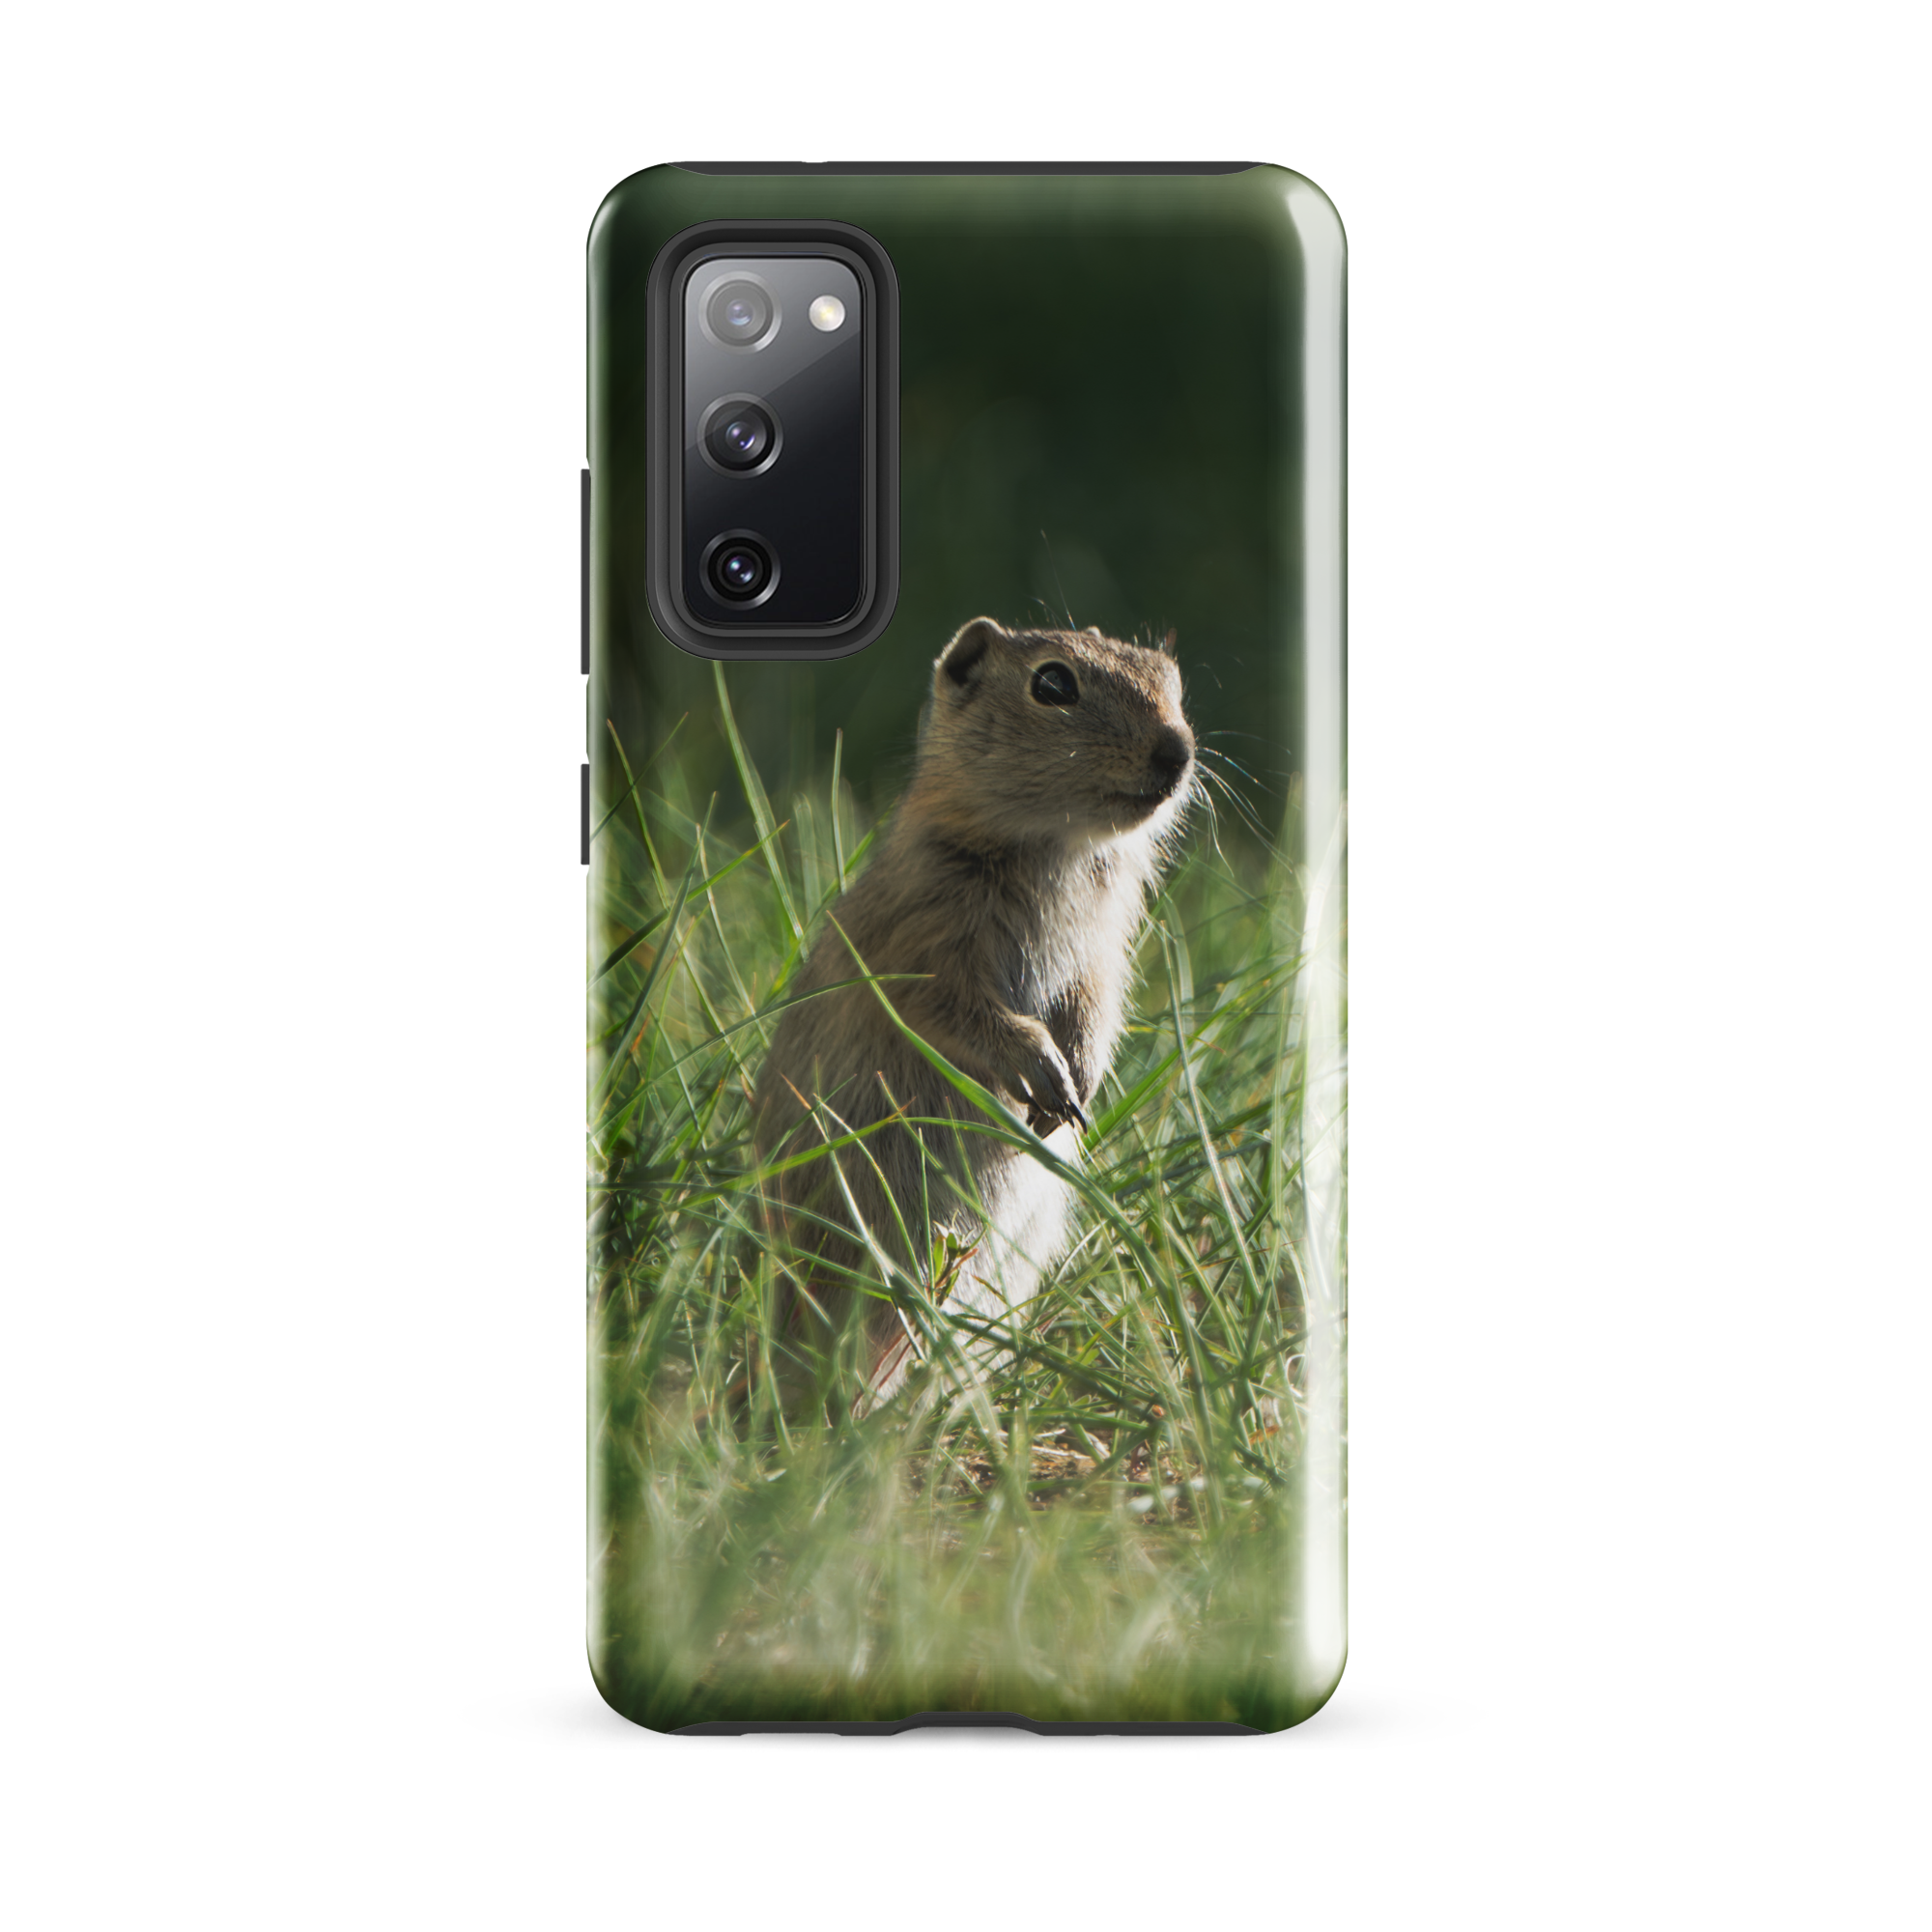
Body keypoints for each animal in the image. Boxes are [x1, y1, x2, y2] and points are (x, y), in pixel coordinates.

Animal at [751, 615, 1196, 1416]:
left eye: (1172, 683)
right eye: (1053, 682)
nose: (1176, 753)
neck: (1057, 849)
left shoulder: (1104, 953)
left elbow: (1096, 1009)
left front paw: (1074, 1091)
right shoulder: (925, 946)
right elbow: (965, 1012)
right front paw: (1046, 1078)